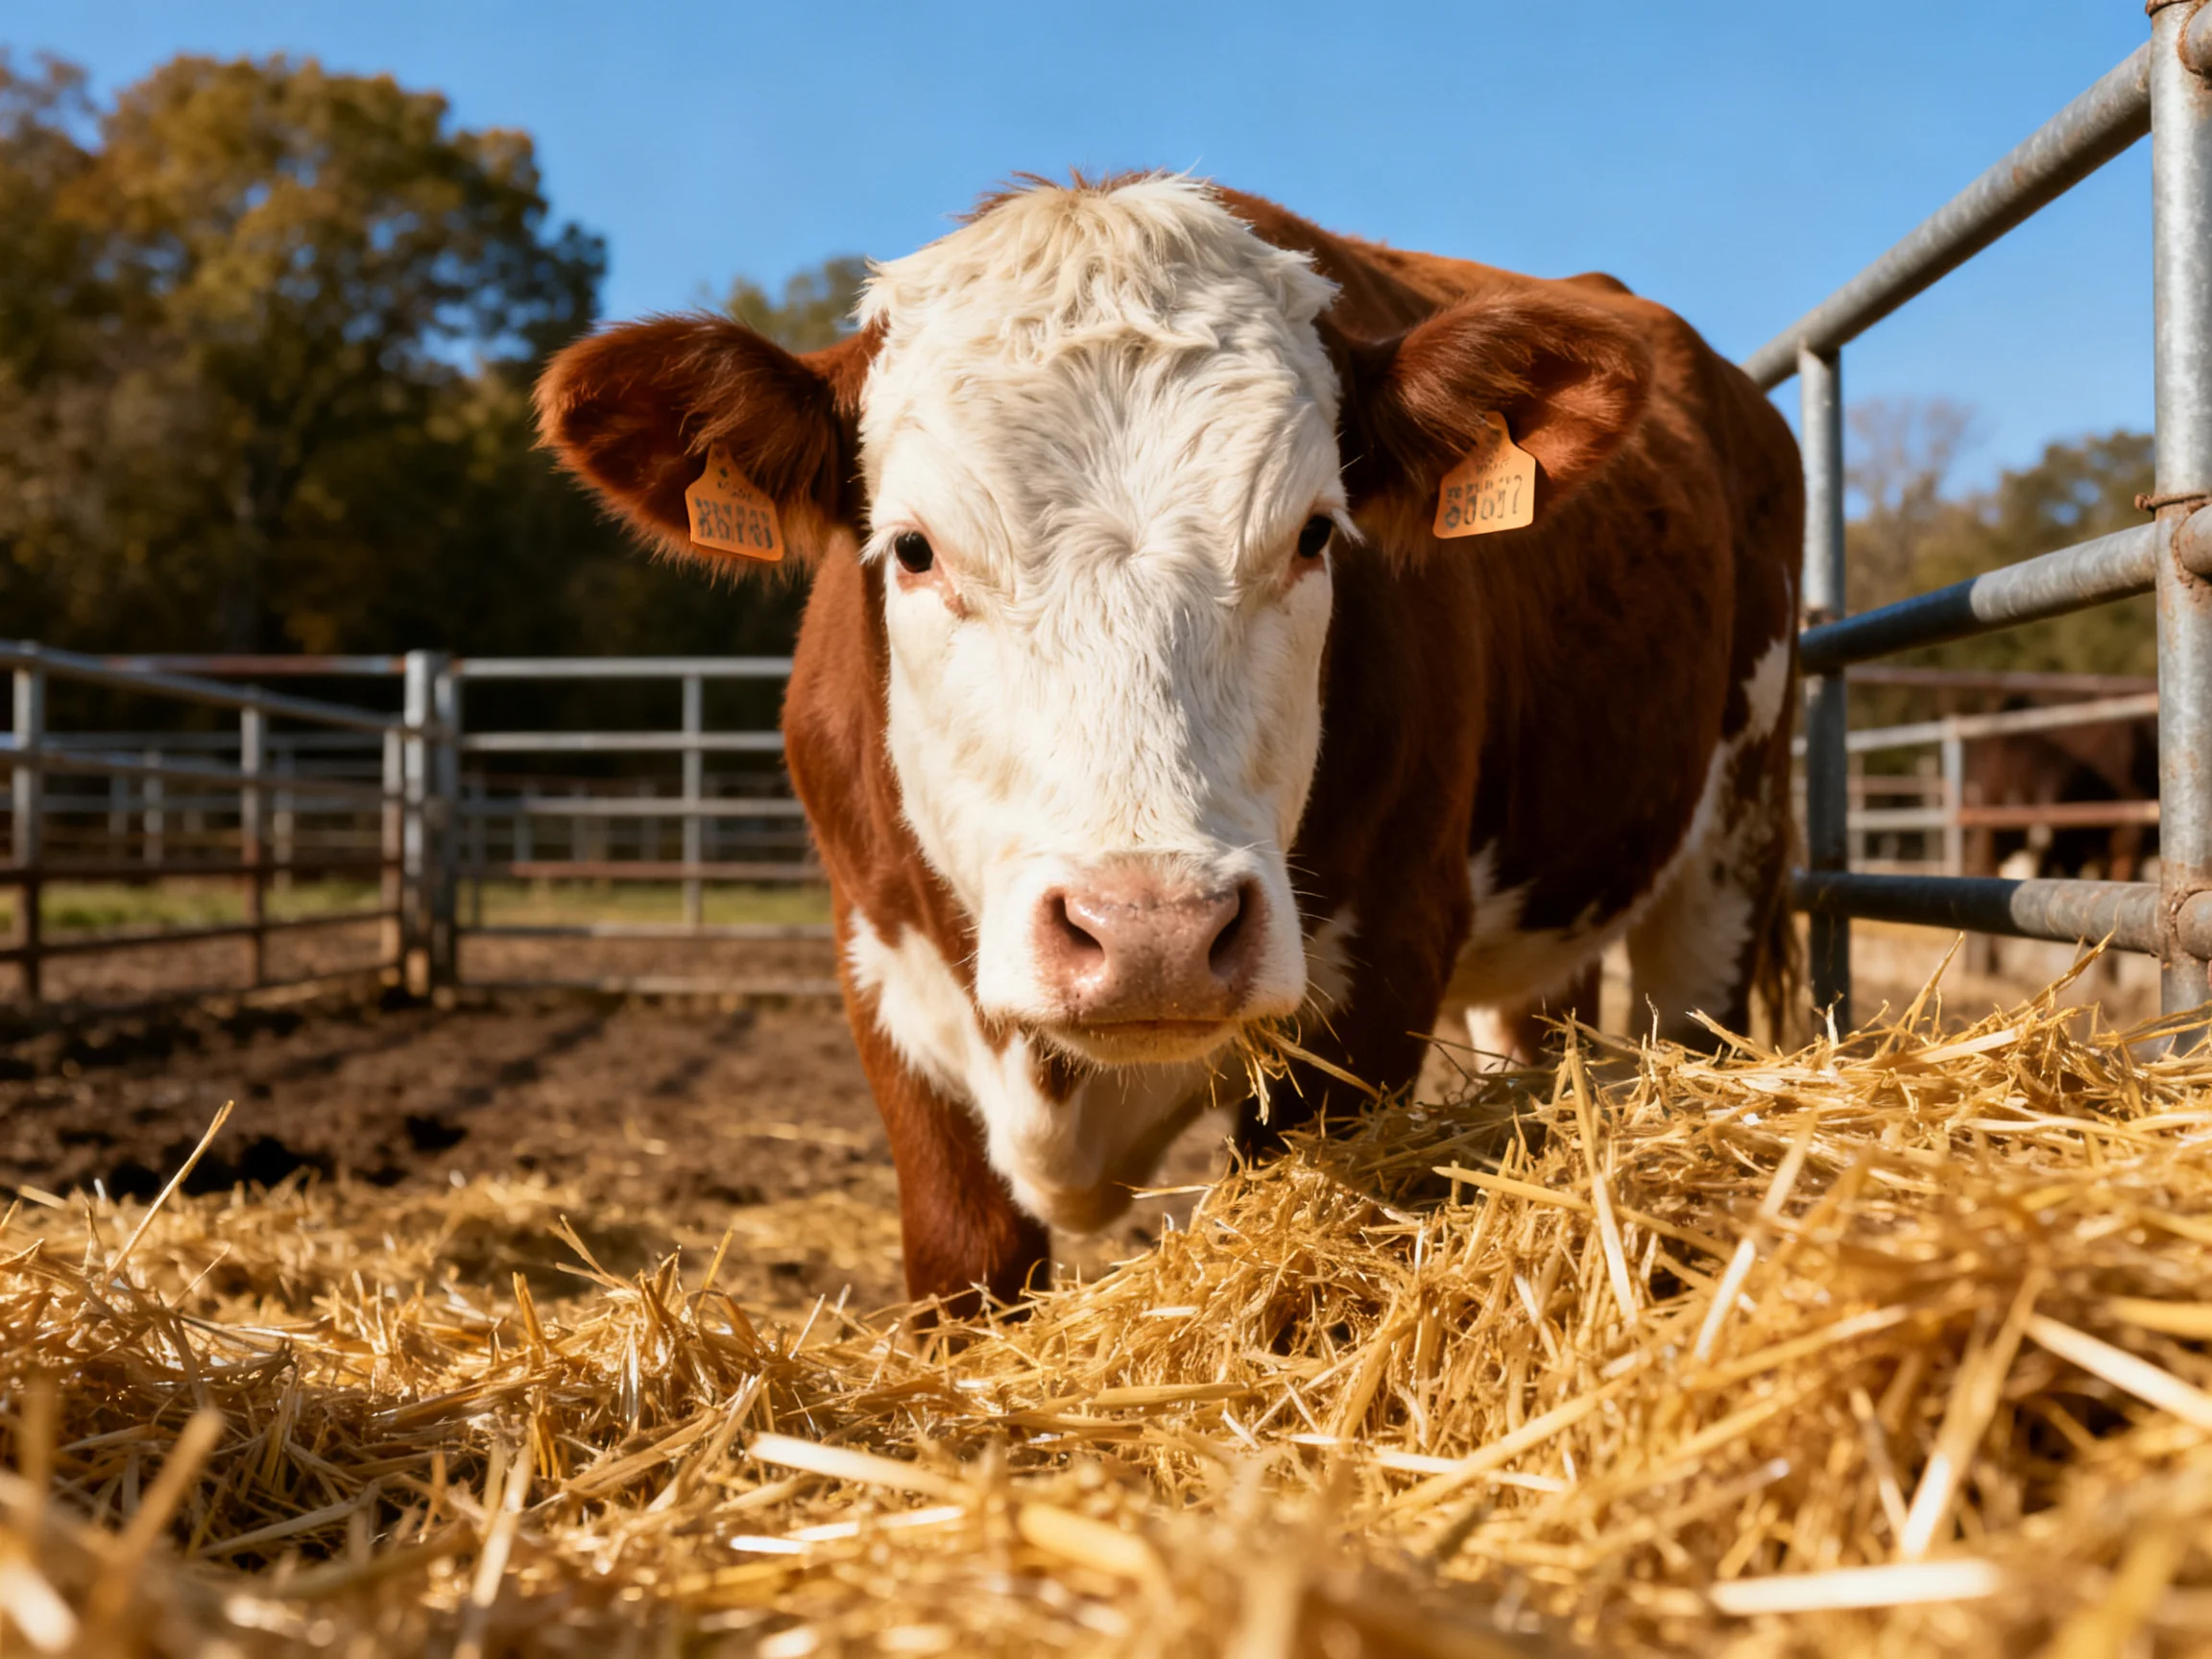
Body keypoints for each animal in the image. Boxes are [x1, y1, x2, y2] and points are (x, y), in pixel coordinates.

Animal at [535, 176, 1802, 1312]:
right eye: (914, 549)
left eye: (1313, 535)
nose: (1153, 934)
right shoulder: (882, 980)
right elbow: (963, 1267)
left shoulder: (1383, 967)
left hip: (1734, 848)